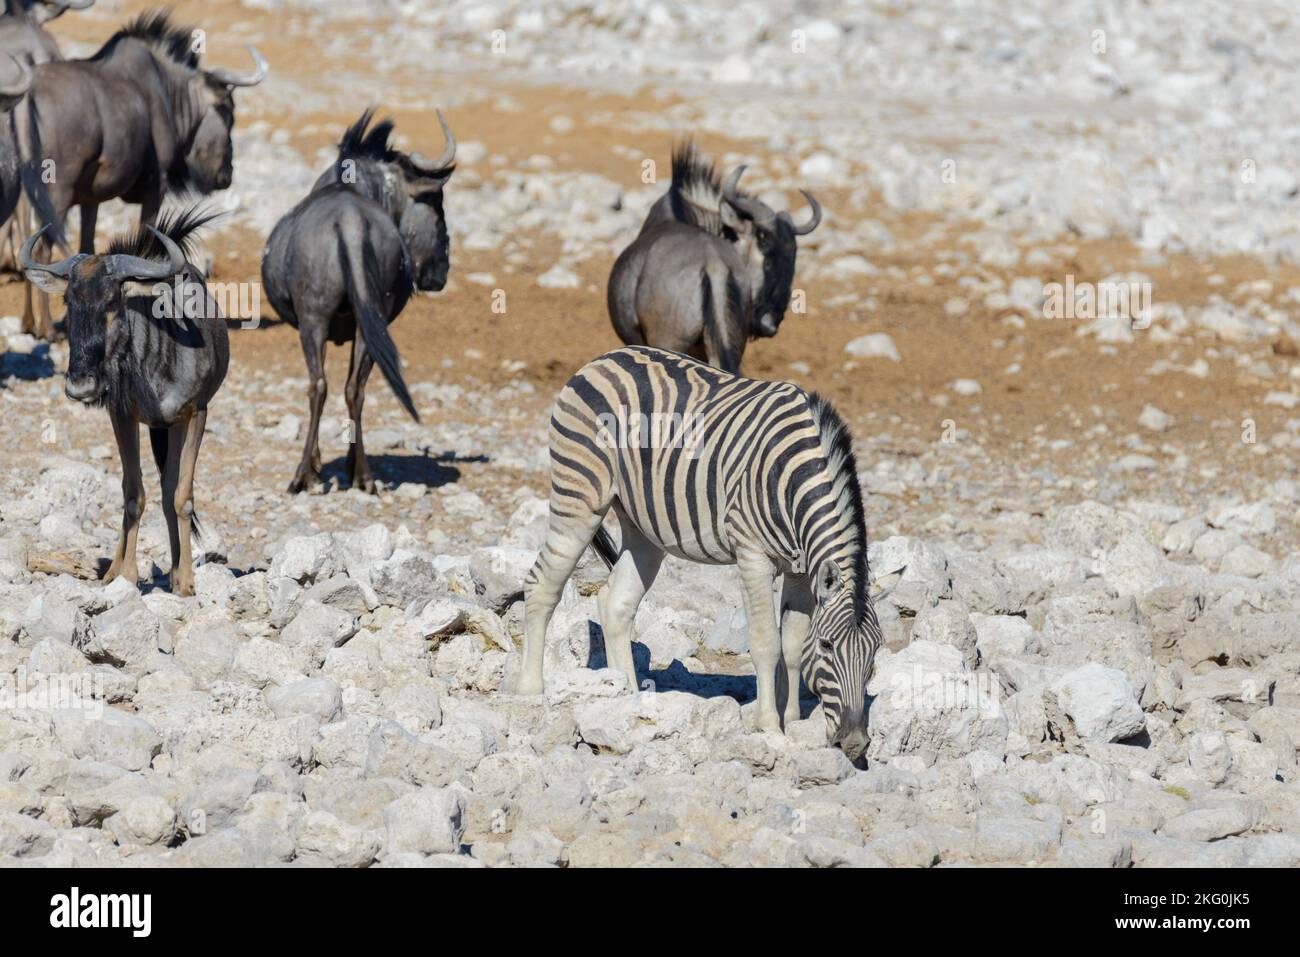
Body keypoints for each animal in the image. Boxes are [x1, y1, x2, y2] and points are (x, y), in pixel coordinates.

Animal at [517, 345, 880, 759]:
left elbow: (791, 646)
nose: (854, 744)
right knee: (541, 585)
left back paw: (625, 699)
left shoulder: (801, 569)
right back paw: (530, 692)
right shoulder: (752, 555)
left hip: (643, 526)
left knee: (616, 602)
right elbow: (766, 644)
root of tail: (605, 356)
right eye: (828, 646)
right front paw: (769, 727)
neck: (792, 476)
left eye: (875, 653)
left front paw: (793, 722)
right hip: (578, 497)